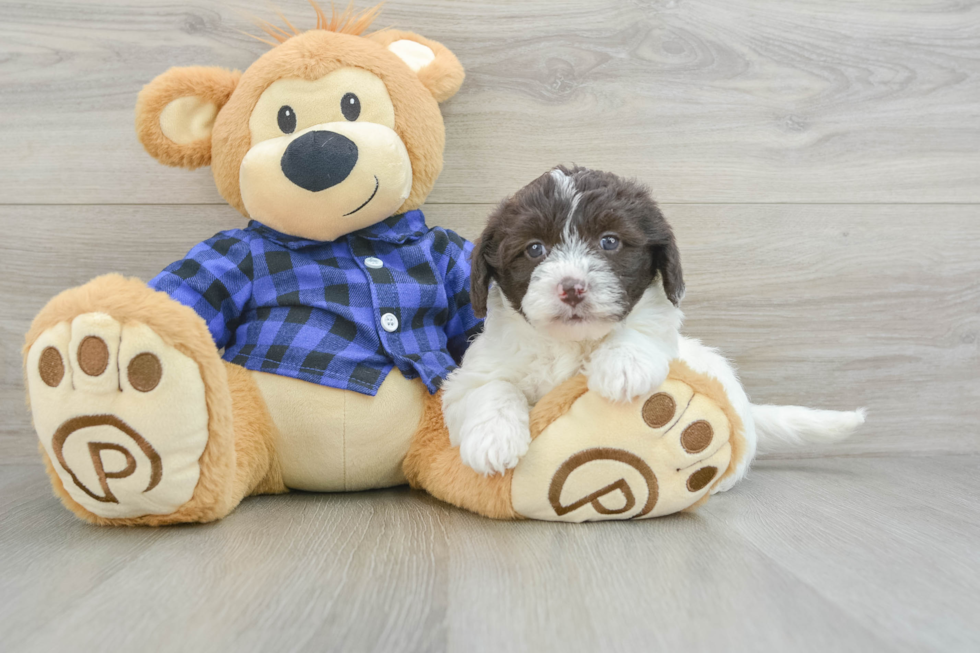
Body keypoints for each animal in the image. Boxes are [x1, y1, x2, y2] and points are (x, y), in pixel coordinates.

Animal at [444, 168, 864, 484]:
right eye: (534, 249)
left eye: (609, 241)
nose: (572, 288)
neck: (572, 343)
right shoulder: (473, 373)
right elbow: (489, 387)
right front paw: (493, 439)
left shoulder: (657, 323)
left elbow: (646, 322)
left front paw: (622, 365)